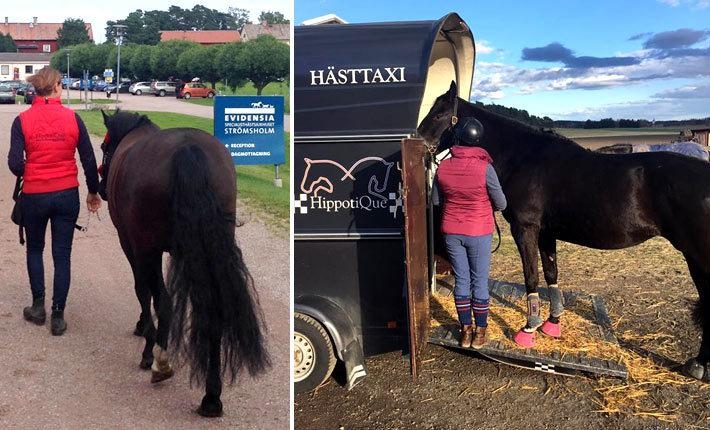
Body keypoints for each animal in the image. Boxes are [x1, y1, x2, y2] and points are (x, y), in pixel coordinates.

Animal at [97, 111, 270, 416]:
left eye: (105, 147)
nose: (100, 188)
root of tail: (189, 149)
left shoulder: (131, 244)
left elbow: (143, 290)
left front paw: (144, 332)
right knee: (214, 311)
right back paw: (211, 396)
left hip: (148, 249)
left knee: (163, 300)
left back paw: (158, 360)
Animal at [420, 81, 710, 382]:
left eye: (439, 114)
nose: (418, 143)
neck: (524, 157)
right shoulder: (546, 233)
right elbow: (551, 274)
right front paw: (552, 323)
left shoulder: (525, 229)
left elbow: (532, 276)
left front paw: (529, 329)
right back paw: (698, 364)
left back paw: (699, 365)